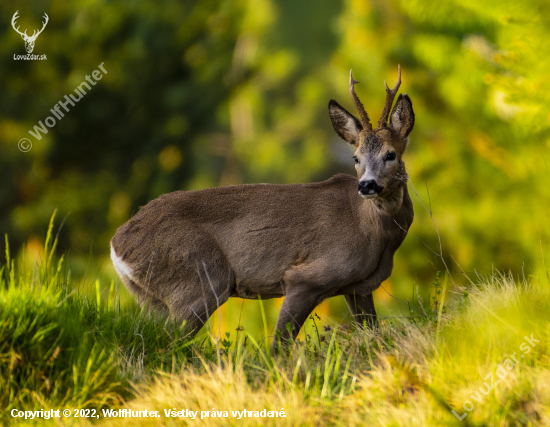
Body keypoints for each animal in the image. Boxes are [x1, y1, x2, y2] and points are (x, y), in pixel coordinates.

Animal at [111, 67, 414, 348]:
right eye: (356, 157)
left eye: (391, 154)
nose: (366, 185)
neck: (373, 234)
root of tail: (117, 244)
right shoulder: (306, 277)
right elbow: (278, 345)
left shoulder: (358, 288)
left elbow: (373, 333)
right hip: (200, 279)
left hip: (153, 297)